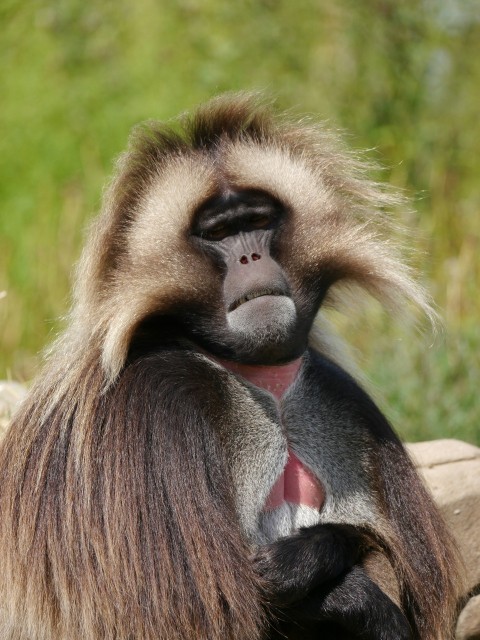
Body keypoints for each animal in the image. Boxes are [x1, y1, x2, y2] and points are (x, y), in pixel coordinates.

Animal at [0, 93, 461, 640]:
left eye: (257, 221)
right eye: (219, 232)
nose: (250, 257)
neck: (267, 387)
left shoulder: (341, 400)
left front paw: (308, 556)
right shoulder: (157, 410)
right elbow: (211, 609)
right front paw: (349, 595)